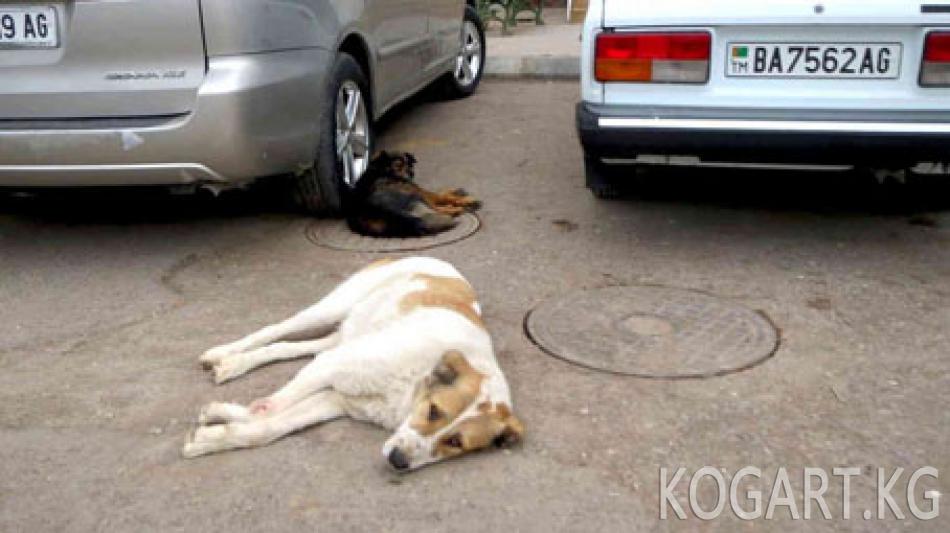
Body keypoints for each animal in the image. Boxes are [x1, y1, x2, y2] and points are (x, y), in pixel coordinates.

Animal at [182, 256, 524, 470]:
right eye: (434, 411)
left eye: (455, 442)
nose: (398, 461)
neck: (410, 388)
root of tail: (440, 260)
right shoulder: (331, 368)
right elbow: (268, 409)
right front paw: (230, 418)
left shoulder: (337, 399)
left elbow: (268, 428)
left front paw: (212, 433)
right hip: (333, 307)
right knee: (276, 329)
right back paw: (223, 352)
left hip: (343, 336)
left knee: (288, 347)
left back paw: (233, 364)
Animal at [344, 153, 484, 238]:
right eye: (398, 165)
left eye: (409, 164)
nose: (411, 173)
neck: (382, 171)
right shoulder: (417, 189)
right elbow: (440, 196)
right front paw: (460, 198)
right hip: (412, 194)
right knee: (438, 208)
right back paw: (459, 208)